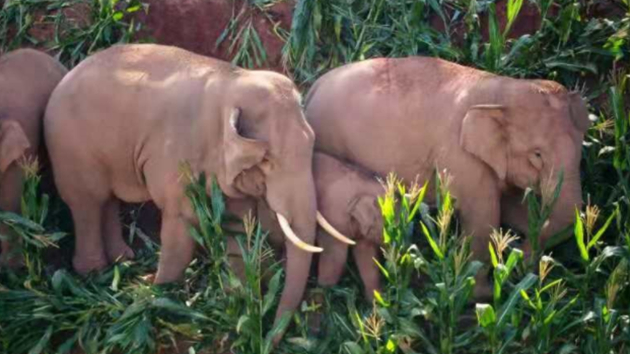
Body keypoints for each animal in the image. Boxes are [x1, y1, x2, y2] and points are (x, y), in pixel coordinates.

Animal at [44, 42, 348, 336]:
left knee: (106, 201)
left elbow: (235, 224)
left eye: (311, 145)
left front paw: (236, 293)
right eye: (266, 160)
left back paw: (122, 260)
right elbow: (182, 222)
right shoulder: (177, 157)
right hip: (71, 148)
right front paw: (154, 293)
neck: (231, 81)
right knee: (88, 203)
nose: (269, 331)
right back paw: (94, 273)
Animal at [306, 56, 592, 300]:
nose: (519, 258)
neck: (501, 90)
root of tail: (312, 88)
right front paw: (481, 293)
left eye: (581, 147)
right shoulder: (460, 157)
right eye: (537, 155)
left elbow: (509, 206)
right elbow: (484, 216)